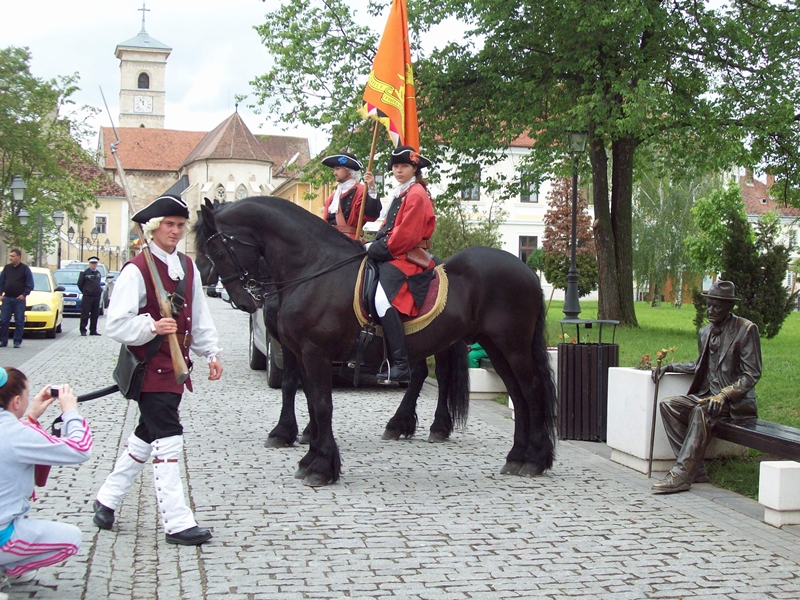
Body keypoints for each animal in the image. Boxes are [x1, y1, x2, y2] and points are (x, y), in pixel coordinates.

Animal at [194, 255, 466, 448]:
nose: (201, 271)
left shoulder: (296, 346)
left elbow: (294, 385)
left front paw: (288, 432)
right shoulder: (295, 346)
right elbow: (299, 385)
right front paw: (302, 431)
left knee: (440, 375)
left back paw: (434, 426)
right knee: (420, 373)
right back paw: (402, 424)